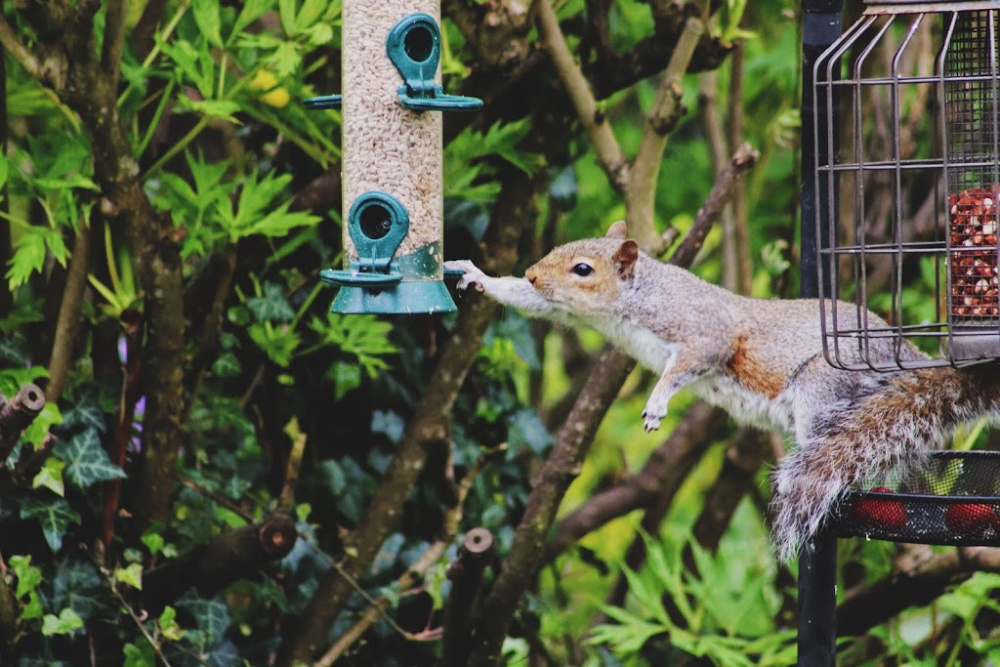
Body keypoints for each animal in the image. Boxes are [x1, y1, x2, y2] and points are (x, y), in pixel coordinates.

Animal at [446, 226, 1000, 564]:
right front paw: (479, 276)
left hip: (823, 390)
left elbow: (690, 362)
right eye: (557, 252)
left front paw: (658, 401)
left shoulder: (704, 332)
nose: (534, 273)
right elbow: (530, 302)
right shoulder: (564, 311)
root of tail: (901, 352)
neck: (637, 297)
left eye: (583, 269)